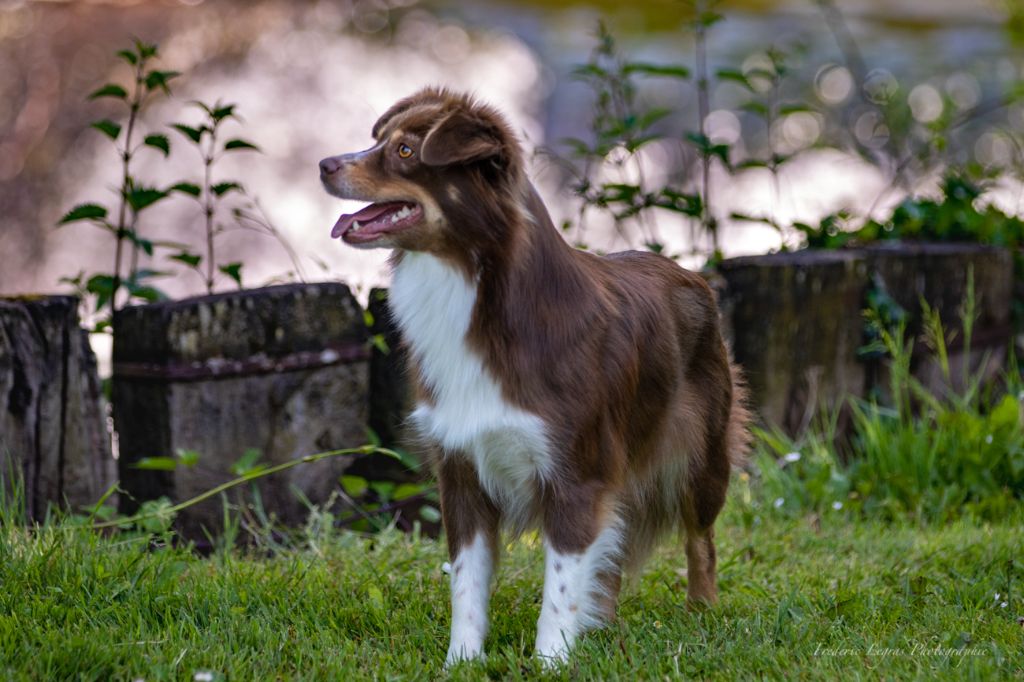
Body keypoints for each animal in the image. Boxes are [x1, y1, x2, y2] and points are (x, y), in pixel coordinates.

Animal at [319, 87, 753, 659]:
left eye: (407, 151)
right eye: (379, 142)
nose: (324, 164)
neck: (473, 289)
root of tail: (692, 276)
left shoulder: (575, 473)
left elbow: (562, 583)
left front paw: (550, 659)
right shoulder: (460, 470)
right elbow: (467, 582)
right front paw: (462, 660)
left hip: (701, 456)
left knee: (700, 539)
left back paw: (701, 612)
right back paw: (604, 626)